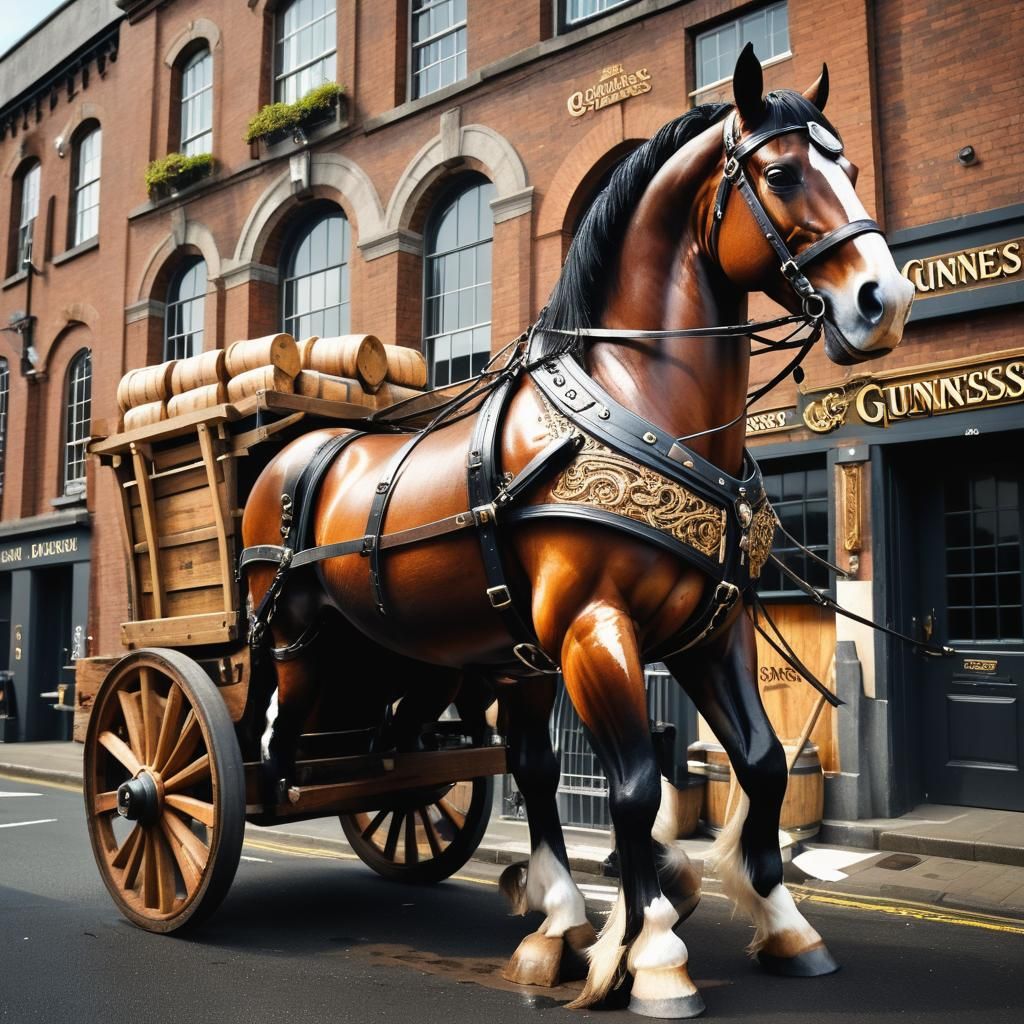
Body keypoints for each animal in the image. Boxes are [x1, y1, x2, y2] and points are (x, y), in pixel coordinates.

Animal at [240, 44, 914, 1018]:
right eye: (785, 173)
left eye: (853, 169)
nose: (885, 300)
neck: (641, 405)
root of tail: (296, 448)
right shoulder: (596, 625)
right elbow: (632, 788)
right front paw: (656, 951)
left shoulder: (712, 627)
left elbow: (758, 763)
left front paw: (777, 921)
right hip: (299, 633)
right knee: (274, 729)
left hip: (491, 653)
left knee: (508, 761)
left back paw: (556, 917)